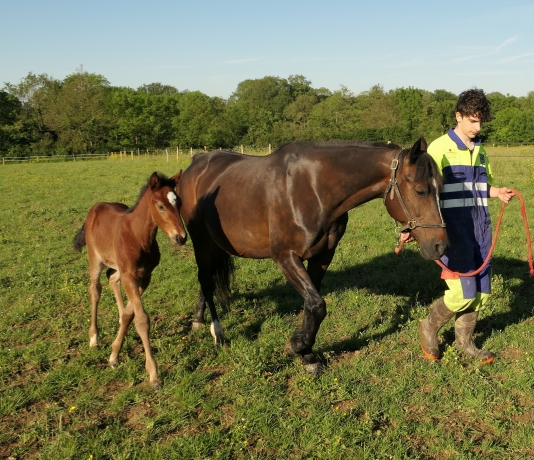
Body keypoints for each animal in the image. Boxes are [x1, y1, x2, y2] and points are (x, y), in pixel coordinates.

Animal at [73, 172, 186, 388]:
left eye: (179, 203)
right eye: (161, 206)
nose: (181, 237)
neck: (138, 236)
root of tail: (96, 207)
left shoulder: (144, 276)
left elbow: (128, 314)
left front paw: (114, 354)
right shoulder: (130, 276)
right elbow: (141, 319)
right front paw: (153, 375)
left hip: (119, 267)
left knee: (111, 278)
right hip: (95, 259)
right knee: (95, 289)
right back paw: (94, 338)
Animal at [179, 138, 448, 372]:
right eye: (421, 191)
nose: (440, 246)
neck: (313, 188)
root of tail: (197, 162)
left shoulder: (322, 256)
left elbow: (312, 306)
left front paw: (306, 351)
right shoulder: (285, 257)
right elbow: (317, 305)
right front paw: (298, 346)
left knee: (208, 278)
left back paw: (199, 318)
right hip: (200, 239)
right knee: (205, 278)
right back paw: (214, 329)